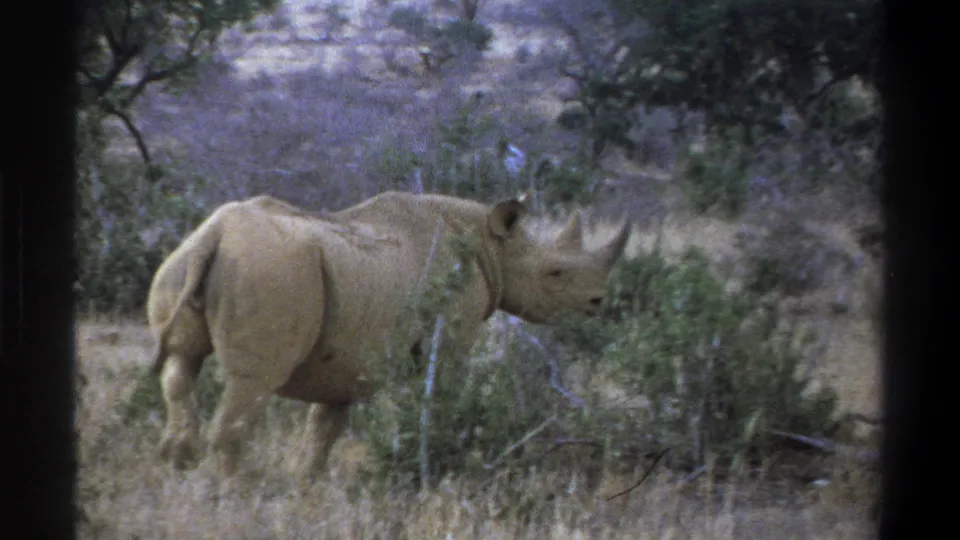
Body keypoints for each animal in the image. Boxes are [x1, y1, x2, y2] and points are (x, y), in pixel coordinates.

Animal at [147, 190, 631, 478]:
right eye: (556, 273)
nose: (599, 302)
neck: (493, 244)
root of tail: (214, 236)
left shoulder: (346, 359)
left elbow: (323, 430)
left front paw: (307, 488)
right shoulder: (447, 339)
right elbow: (437, 402)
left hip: (187, 260)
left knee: (181, 367)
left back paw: (178, 471)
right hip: (271, 272)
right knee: (251, 385)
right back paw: (235, 495)